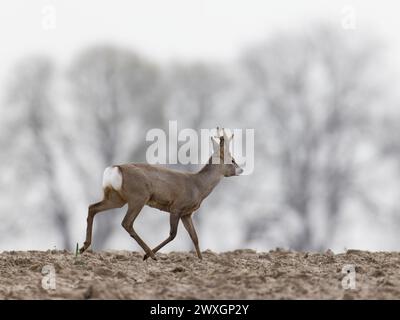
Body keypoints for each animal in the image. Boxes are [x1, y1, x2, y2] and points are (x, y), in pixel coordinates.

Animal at [79, 126, 242, 258]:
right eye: (232, 160)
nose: (241, 169)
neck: (198, 186)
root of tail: (115, 169)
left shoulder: (187, 213)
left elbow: (195, 237)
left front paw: (201, 261)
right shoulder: (176, 206)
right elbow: (173, 234)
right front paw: (147, 256)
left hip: (116, 198)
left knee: (93, 207)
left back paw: (83, 247)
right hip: (138, 197)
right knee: (127, 223)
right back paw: (150, 255)